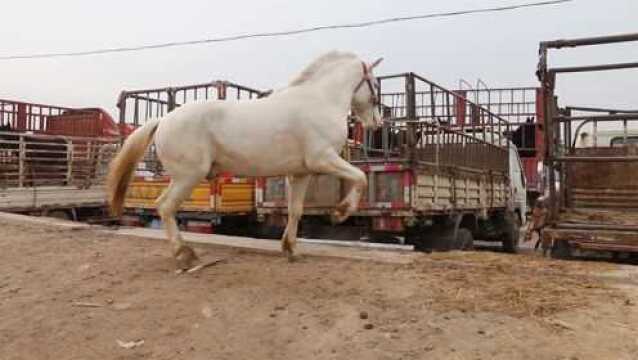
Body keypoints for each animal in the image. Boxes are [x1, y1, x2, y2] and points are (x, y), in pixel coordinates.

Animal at [107, 52, 382, 268]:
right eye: (375, 85)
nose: (377, 123)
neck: (320, 101)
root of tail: (163, 120)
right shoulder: (323, 159)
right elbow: (361, 177)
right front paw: (340, 212)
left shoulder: (301, 173)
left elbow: (295, 210)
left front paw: (291, 249)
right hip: (188, 176)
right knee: (165, 207)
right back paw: (185, 255)